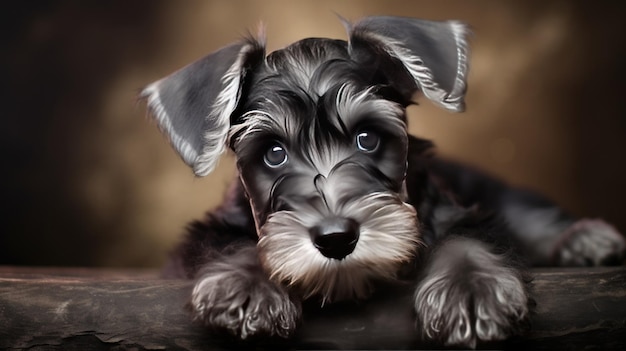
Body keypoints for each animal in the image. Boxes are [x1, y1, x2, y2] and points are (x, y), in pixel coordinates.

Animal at [140, 15, 624, 350]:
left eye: (367, 137)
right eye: (274, 153)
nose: (336, 238)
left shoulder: (455, 209)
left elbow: (466, 235)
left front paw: (471, 289)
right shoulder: (207, 232)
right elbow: (232, 241)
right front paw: (247, 286)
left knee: (534, 218)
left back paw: (586, 240)